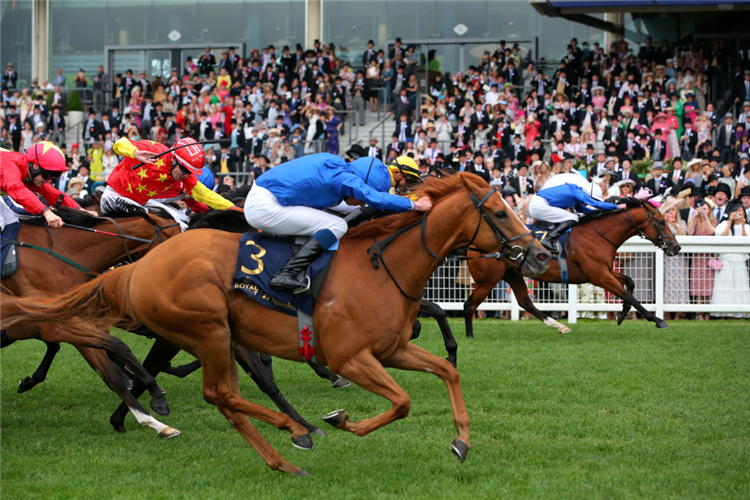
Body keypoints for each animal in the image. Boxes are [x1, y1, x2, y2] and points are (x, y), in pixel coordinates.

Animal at [464, 198, 680, 336]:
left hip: (512, 274)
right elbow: (629, 295)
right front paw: (658, 320)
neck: (598, 234)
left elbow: (630, 282)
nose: (676, 247)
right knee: (469, 305)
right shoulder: (599, 276)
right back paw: (469, 336)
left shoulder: (603, 271)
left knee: (525, 302)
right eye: (661, 221)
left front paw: (621, 314)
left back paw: (559, 326)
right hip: (488, 279)